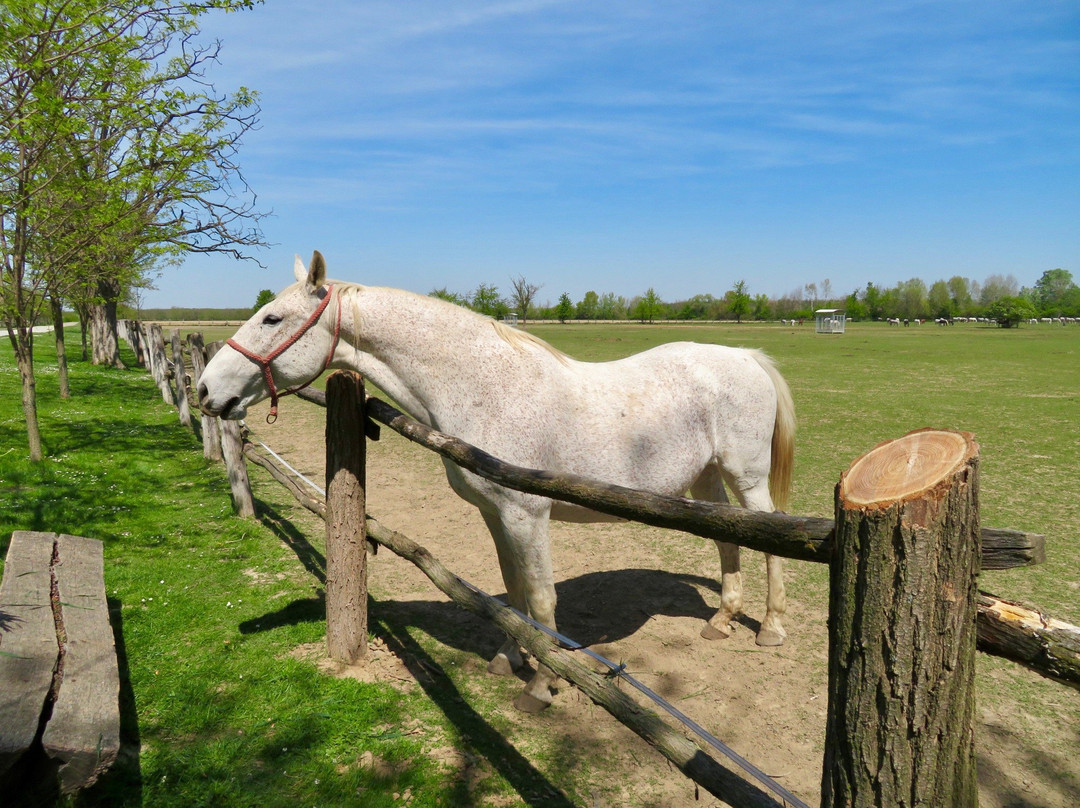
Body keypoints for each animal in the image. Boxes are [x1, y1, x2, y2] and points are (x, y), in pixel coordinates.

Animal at [198, 252, 799, 712]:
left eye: (272, 319)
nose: (206, 390)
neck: (484, 387)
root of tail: (745, 357)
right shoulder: (495, 514)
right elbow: (512, 593)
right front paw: (510, 659)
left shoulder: (527, 516)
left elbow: (542, 601)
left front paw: (543, 685)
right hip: (706, 480)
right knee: (727, 540)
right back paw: (721, 620)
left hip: (744, 476)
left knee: (770, 535)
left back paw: (770, 627)